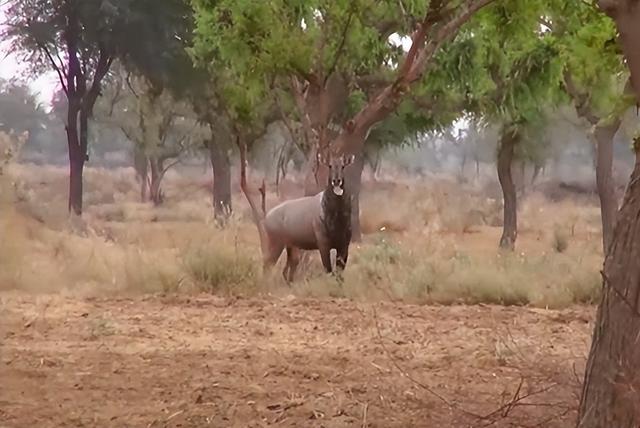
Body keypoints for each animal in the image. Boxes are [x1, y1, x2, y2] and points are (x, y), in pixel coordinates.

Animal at [264, 152, 358, 282]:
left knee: (287, 269)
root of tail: (267, 217)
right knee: (267, 265)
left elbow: (339, 274)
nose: (336, 181)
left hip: (291, 247)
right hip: (276, 244)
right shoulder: (323, 245)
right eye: (330, 165)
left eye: (343, 166)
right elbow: (329, 271)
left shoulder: (344, 246)